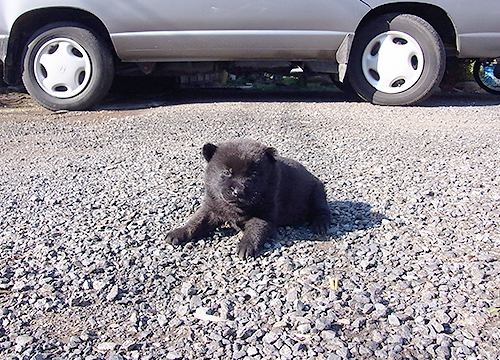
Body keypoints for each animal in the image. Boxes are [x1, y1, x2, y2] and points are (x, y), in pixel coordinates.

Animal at [166, 139, 332, 258]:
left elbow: (255, 229)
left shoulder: (265, 213)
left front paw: (246, 246)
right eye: (227, 172)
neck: (236, 208)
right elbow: (196, 222)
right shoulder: (211, 207)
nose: (238, 190)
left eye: (253, 174)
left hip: (317, 191)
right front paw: (178, 233)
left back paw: (320, 225)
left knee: (322, 211)